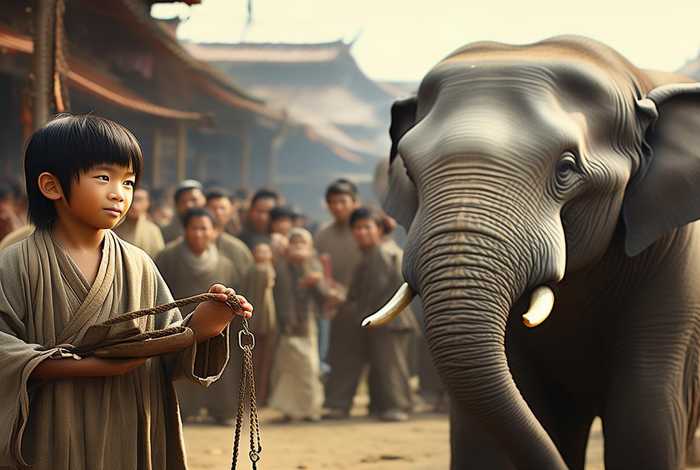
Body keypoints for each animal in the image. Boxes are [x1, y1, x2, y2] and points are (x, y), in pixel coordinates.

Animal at [364, 36, 700, 469]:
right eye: (407, 169)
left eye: (566, 168)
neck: (631, 80)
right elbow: (485, 435)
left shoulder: (677, 259)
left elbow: (646, 415)